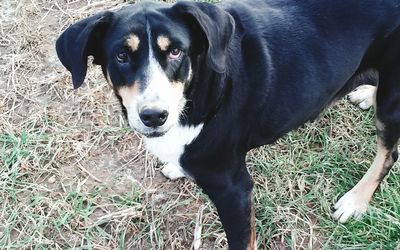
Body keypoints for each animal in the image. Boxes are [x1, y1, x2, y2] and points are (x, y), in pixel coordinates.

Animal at [56, 0, 400, 249]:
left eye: (176, 50)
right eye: (121, 56)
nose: (154, 116)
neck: (199, 88)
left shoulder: (233, 189)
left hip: (391, 102)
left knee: (388, 154)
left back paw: (355, 201)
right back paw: (367, 93)